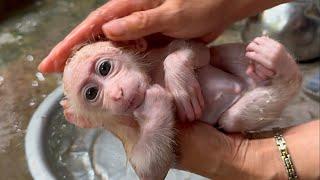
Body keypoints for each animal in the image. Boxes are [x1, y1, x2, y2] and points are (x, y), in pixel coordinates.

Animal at [61, 35, 302, 179]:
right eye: (91, 93)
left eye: (104, 68)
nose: (116, 94)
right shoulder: (124, 129)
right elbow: (150, 169)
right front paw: (155, 108)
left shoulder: (153, 55)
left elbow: (197, 49)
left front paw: (178, 74)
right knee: (232, 119)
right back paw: (284, 75)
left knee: (221, 56)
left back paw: (275, 64)